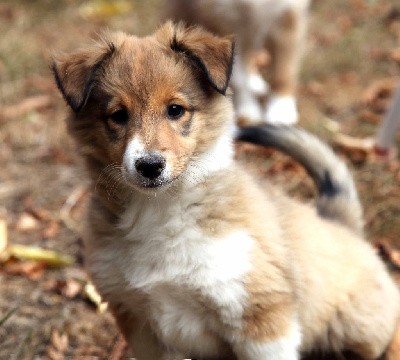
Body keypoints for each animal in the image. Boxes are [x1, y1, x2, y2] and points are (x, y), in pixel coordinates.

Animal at [53, 22, 400, 360]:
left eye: (175, 109)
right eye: (118, 116)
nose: (149, 166)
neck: (161, 209)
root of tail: (339, 222)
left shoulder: (260, 320)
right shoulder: (140, 325)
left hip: (358, 326)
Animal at [164, 0, 310, 125]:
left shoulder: (288, 16)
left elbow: (284, 71)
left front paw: (280, 109)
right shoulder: (222, 22)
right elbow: (238, 78)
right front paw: (248, 110)